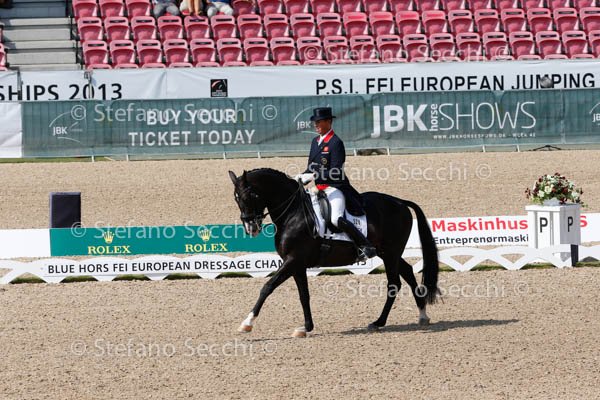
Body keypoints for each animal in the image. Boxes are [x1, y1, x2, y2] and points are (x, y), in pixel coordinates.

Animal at [228, 168, 439, 337]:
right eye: (236, 198)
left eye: (249, 196)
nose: (250, 227)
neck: (293, 213)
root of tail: (399, 202)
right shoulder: (297, 265)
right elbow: (304, 295)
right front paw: (306, 328)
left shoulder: (293, 260)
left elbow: (267, 287)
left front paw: (247, 323)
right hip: (388, 253)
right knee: (408, 272)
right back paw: (422, 316)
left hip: (390, 253)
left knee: (393, 284)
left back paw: (379, 322)